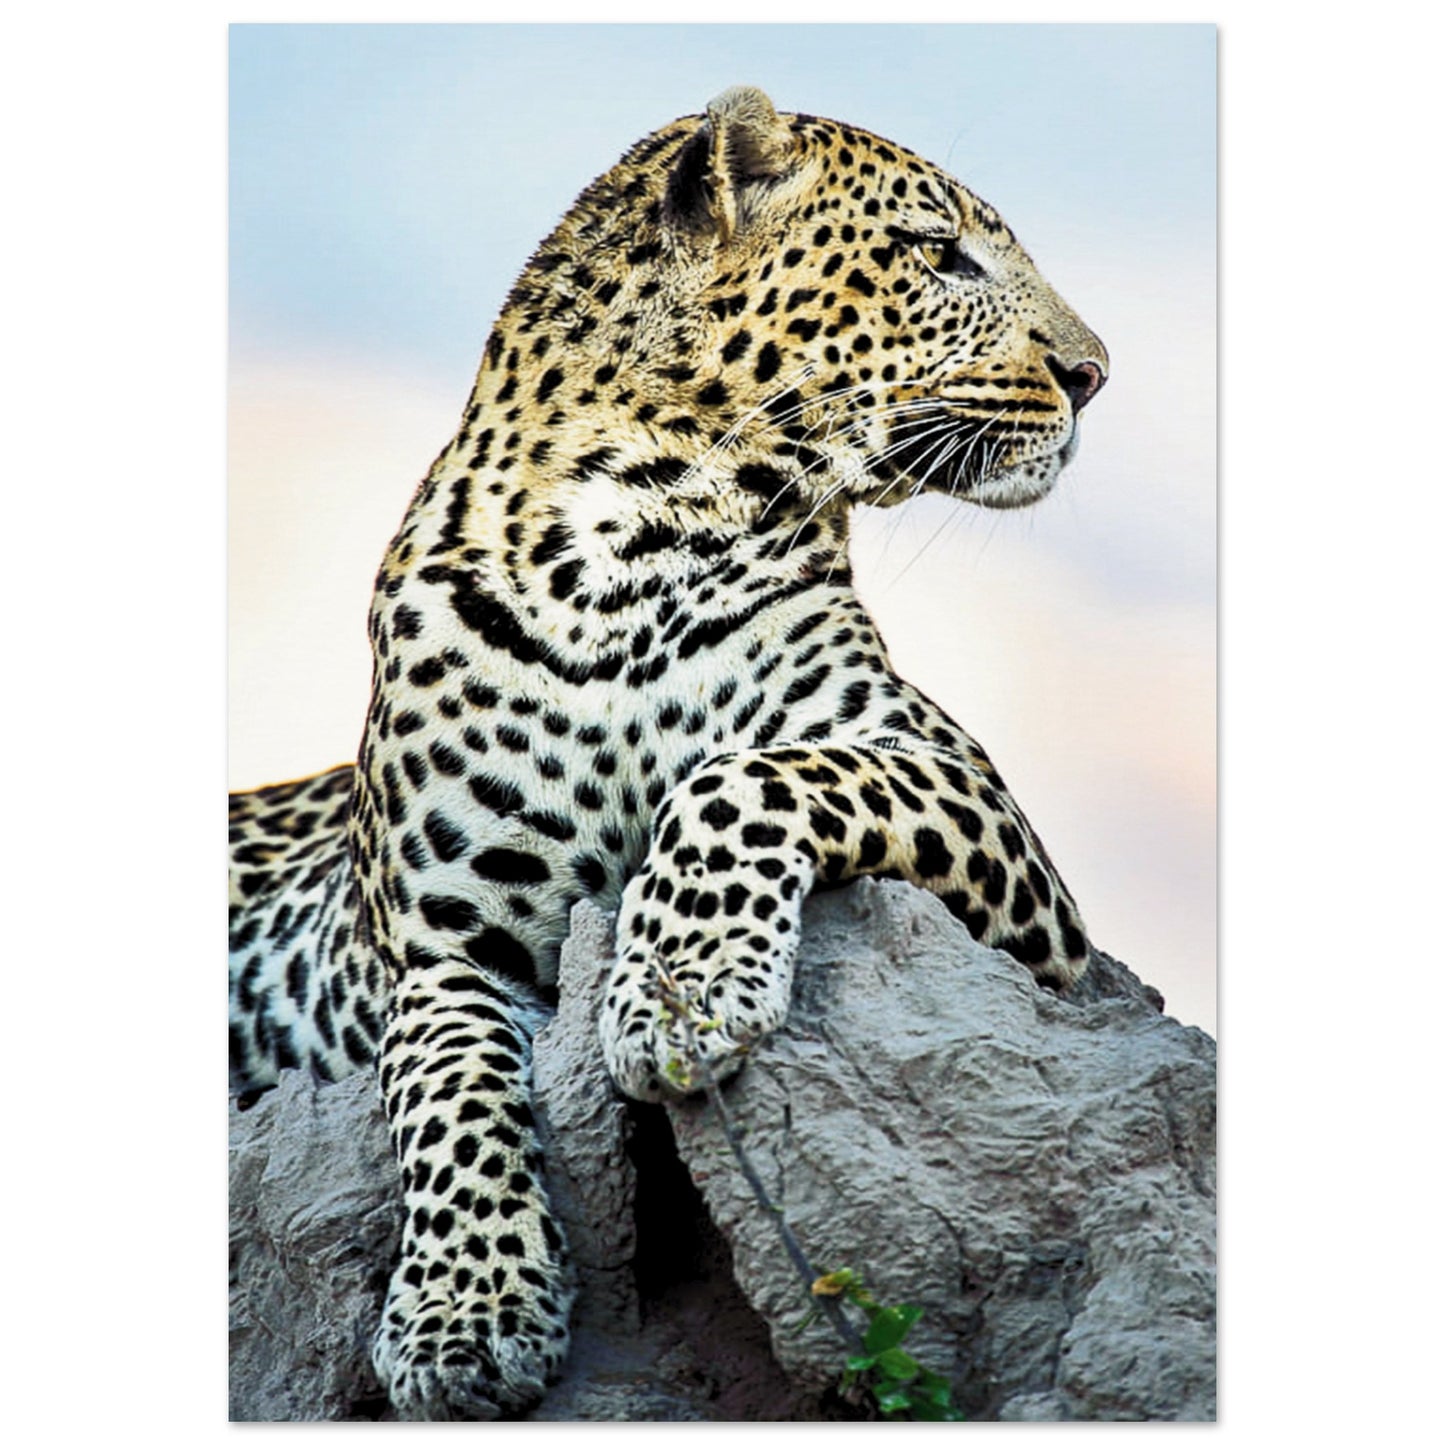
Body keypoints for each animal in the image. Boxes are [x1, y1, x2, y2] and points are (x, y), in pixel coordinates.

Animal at [229, 85, 1108, 1421]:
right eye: (937, 253)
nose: (1093, 374)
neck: (619, 545)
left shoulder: (988, 832)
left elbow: (741, 773)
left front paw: (676, 994)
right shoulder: (437, 948)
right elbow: (445, 1088)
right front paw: (464, 1317)